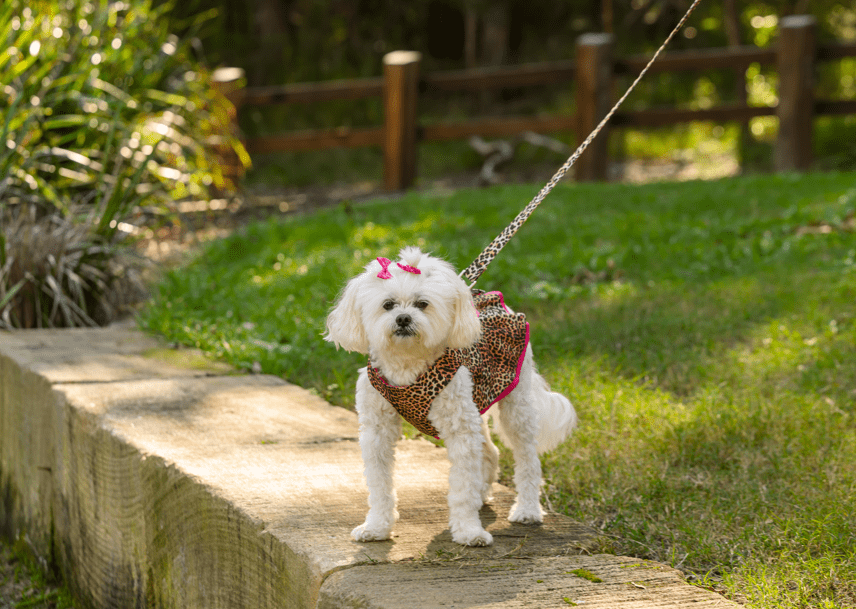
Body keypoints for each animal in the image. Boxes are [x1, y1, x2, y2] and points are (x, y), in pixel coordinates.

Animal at [324, 247, 580, 548]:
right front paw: (376, 527)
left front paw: (468, 530)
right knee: (490, 451)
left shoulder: (460, 428)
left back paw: (527, 509)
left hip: (515, 405)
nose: (403, 318)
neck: (407, 362)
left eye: (422, 304)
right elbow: (379, 485)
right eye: (388, 305)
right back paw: (483, 492)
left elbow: (462, 486)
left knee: (527, 457)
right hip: (477, 401)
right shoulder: (377, 431)